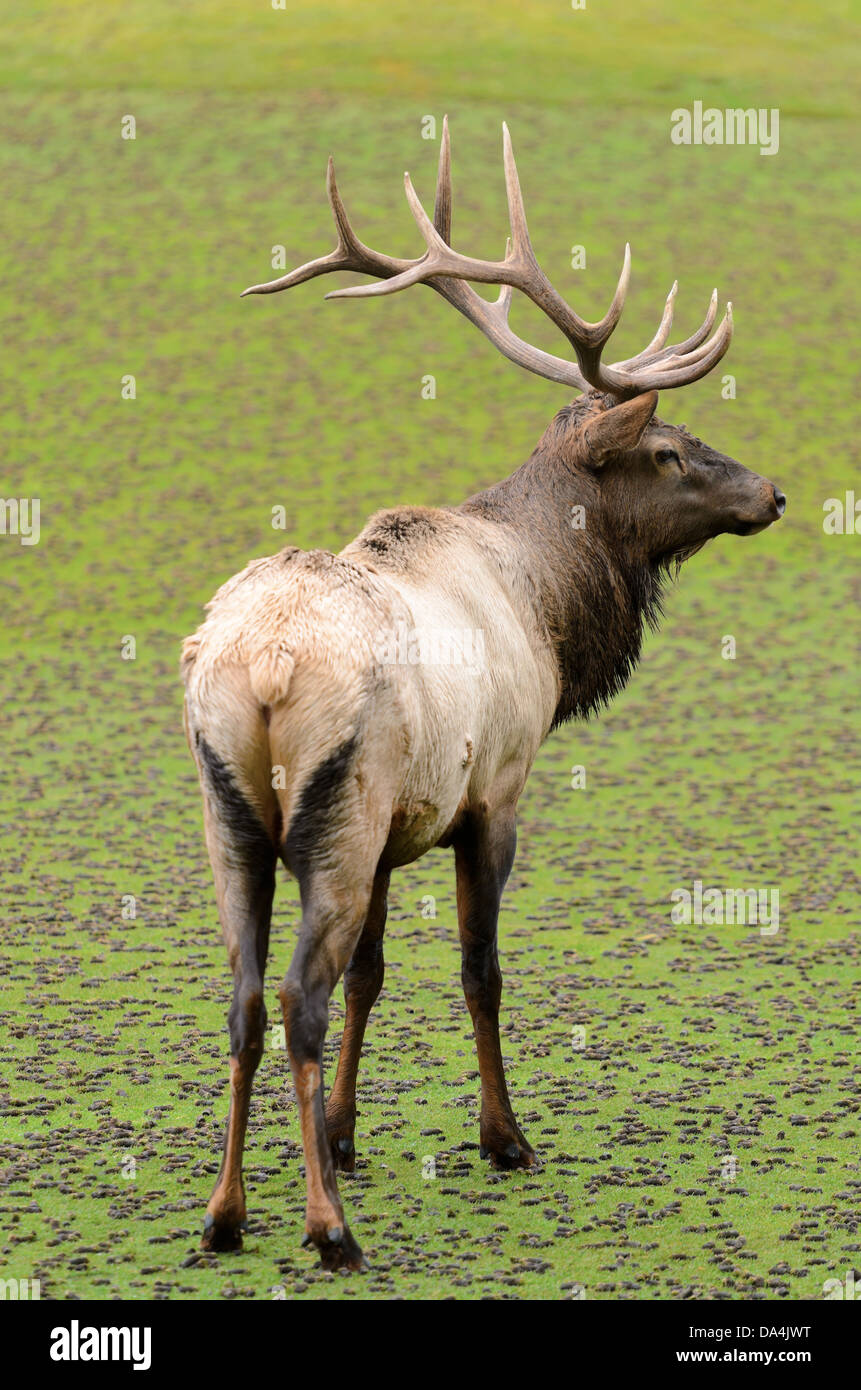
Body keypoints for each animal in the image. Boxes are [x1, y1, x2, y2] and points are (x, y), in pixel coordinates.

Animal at [183, 119, 790, 1273]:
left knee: (242, 995)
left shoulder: (397, 827)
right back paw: (328, 1227)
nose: (772, 492)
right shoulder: (496, 788)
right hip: (335, 808)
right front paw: (504, 1137)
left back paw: (229, 1214)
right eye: (667, 450)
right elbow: (479, 969)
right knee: (295, 995)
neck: (547, 604)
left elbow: (377, 973)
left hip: (231, 816)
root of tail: (266, 669)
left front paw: (345, 1131)